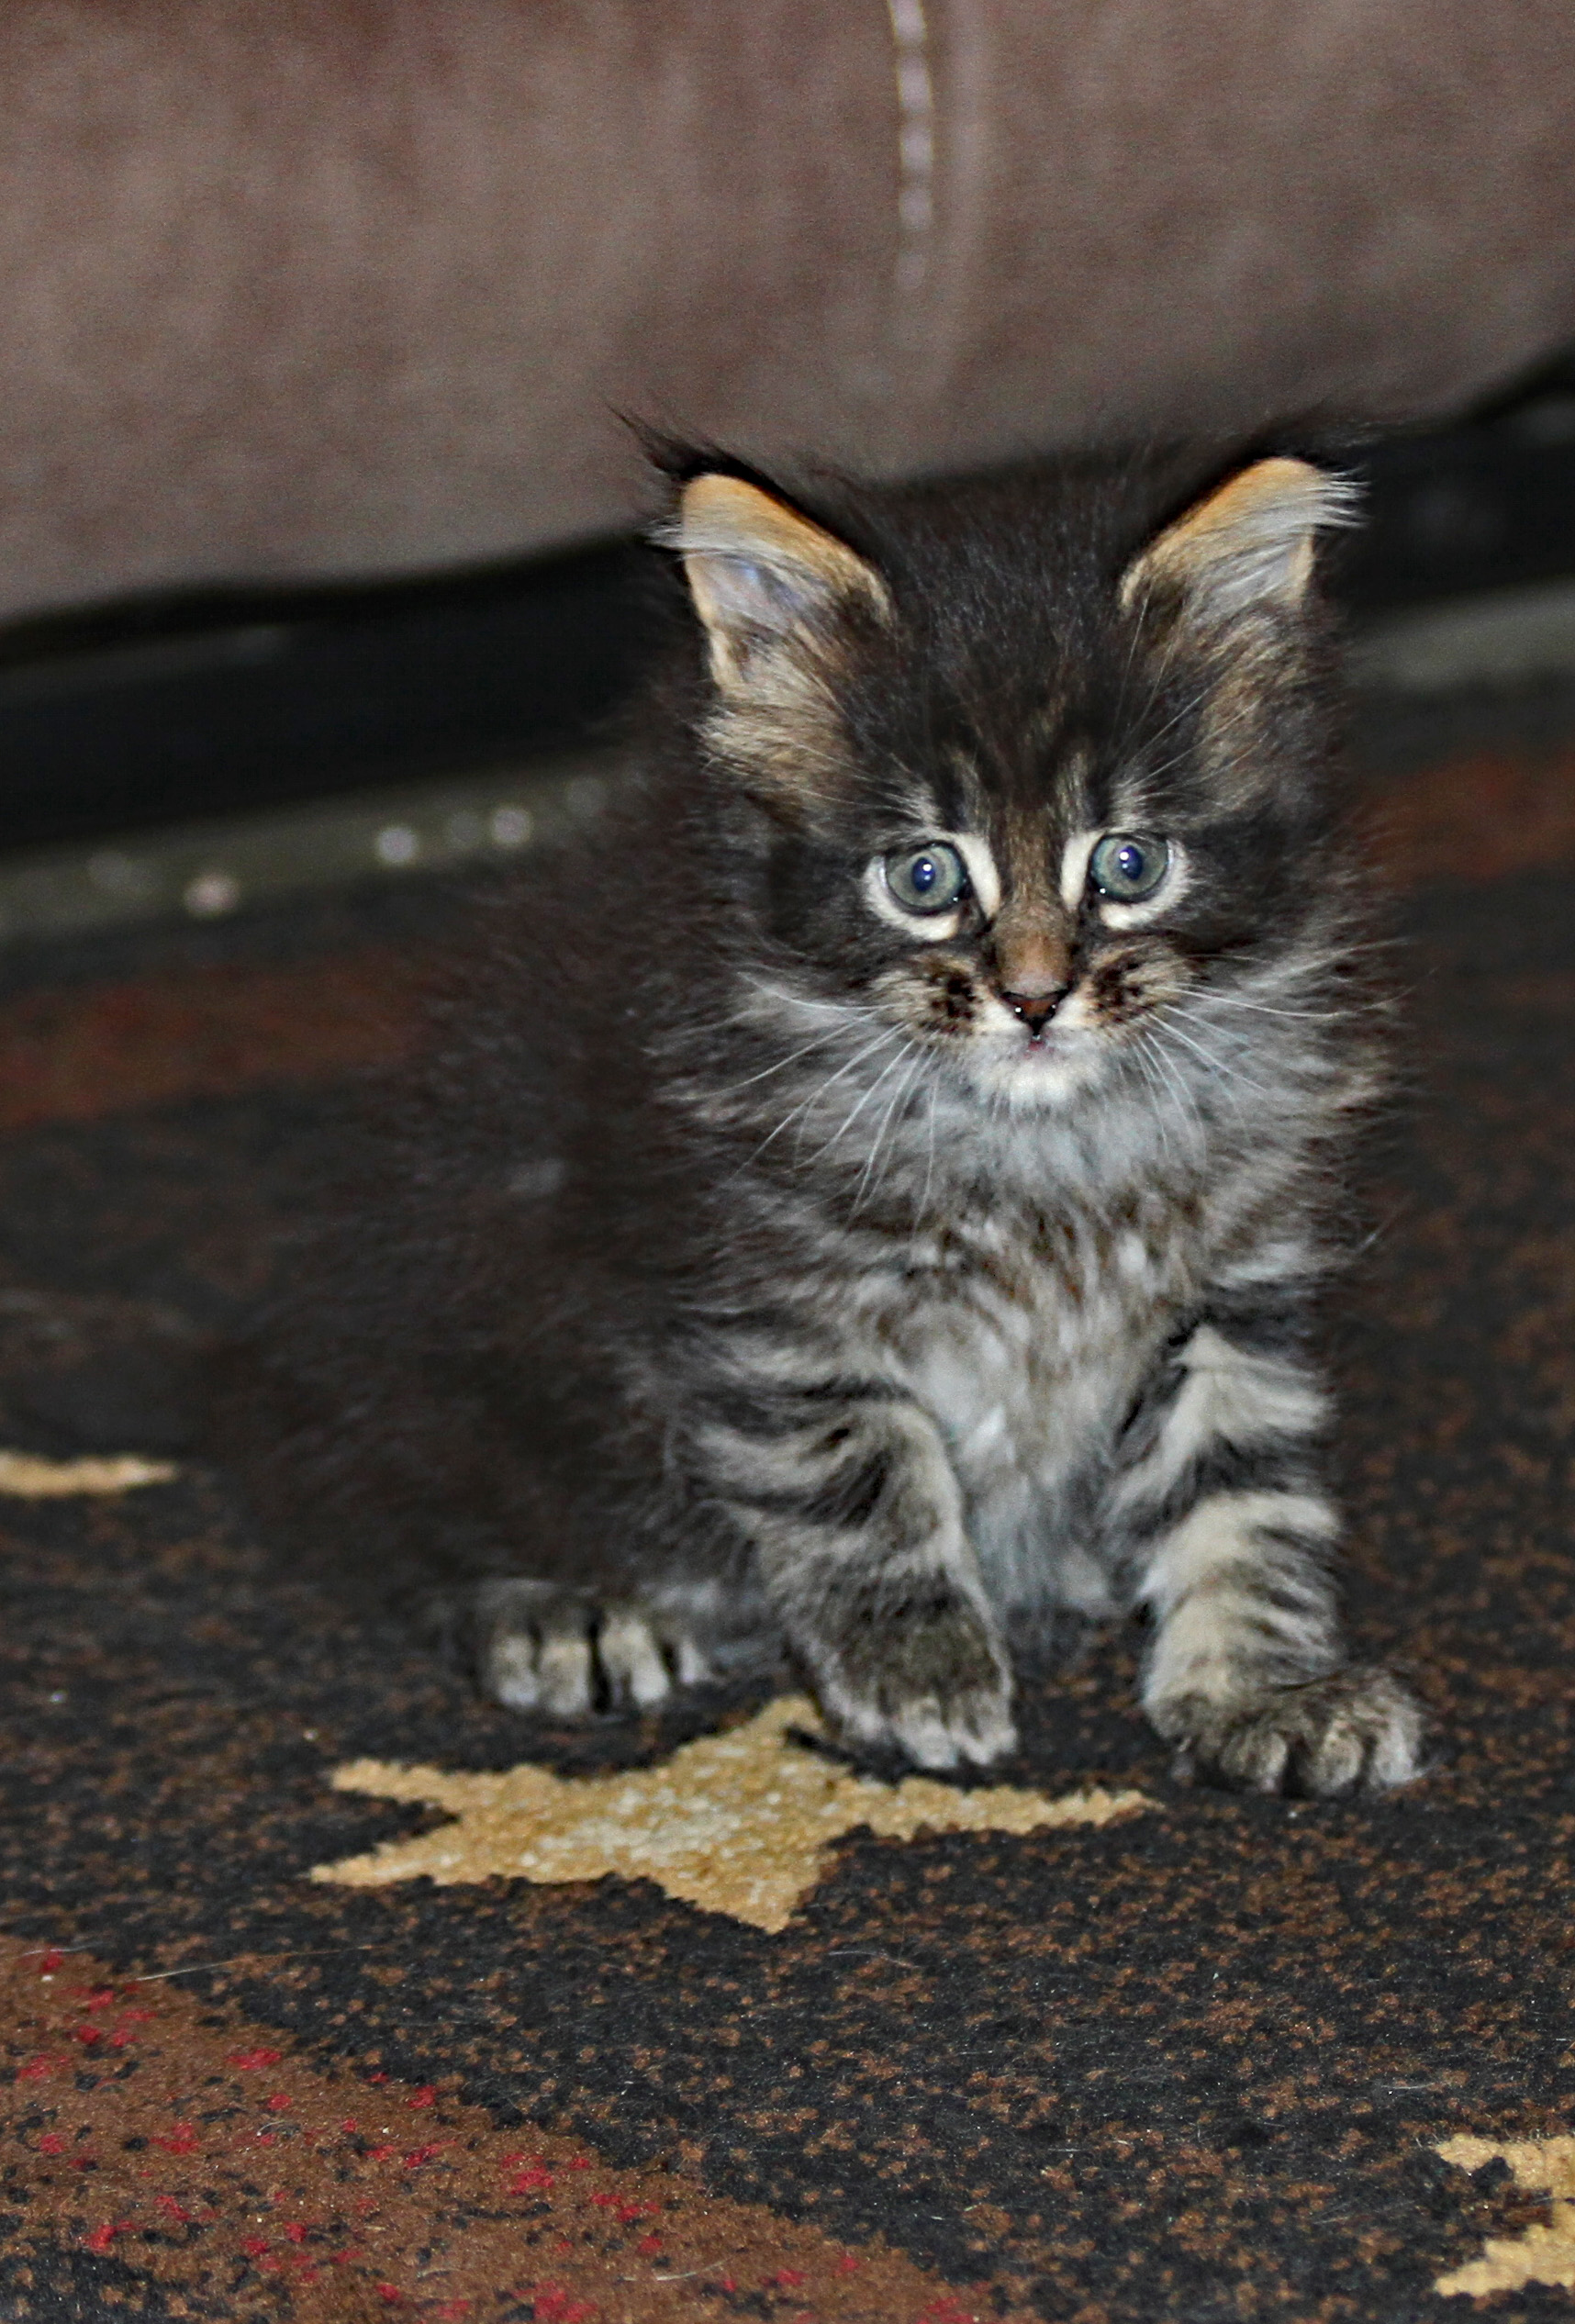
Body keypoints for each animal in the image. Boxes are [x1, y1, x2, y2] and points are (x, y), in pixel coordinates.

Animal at [234, 453, 1431, 1793]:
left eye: (1128, 865)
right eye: (924, 878)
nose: (1034, 997)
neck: (1044, 1155)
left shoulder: (1230, 1292)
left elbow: (1240, 1500)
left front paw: (1265, 1689)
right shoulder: (777, 1302)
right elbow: (863, 1480)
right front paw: (921, 1671)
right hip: (465, 1338)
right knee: (397, 1512)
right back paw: (558, 1610)